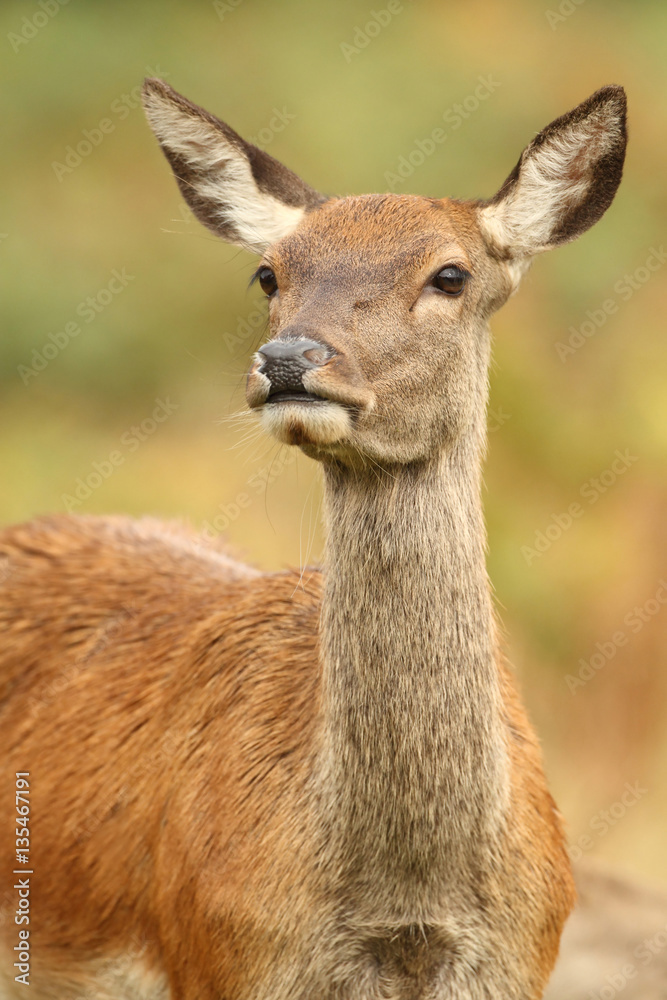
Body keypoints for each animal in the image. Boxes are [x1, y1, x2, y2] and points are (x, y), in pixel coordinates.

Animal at [0, 80, 628, 1000]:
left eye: (450, 274)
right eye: (270, 271)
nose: (289, 358)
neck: (403, 910)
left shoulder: (519, 959)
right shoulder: (222, 958)